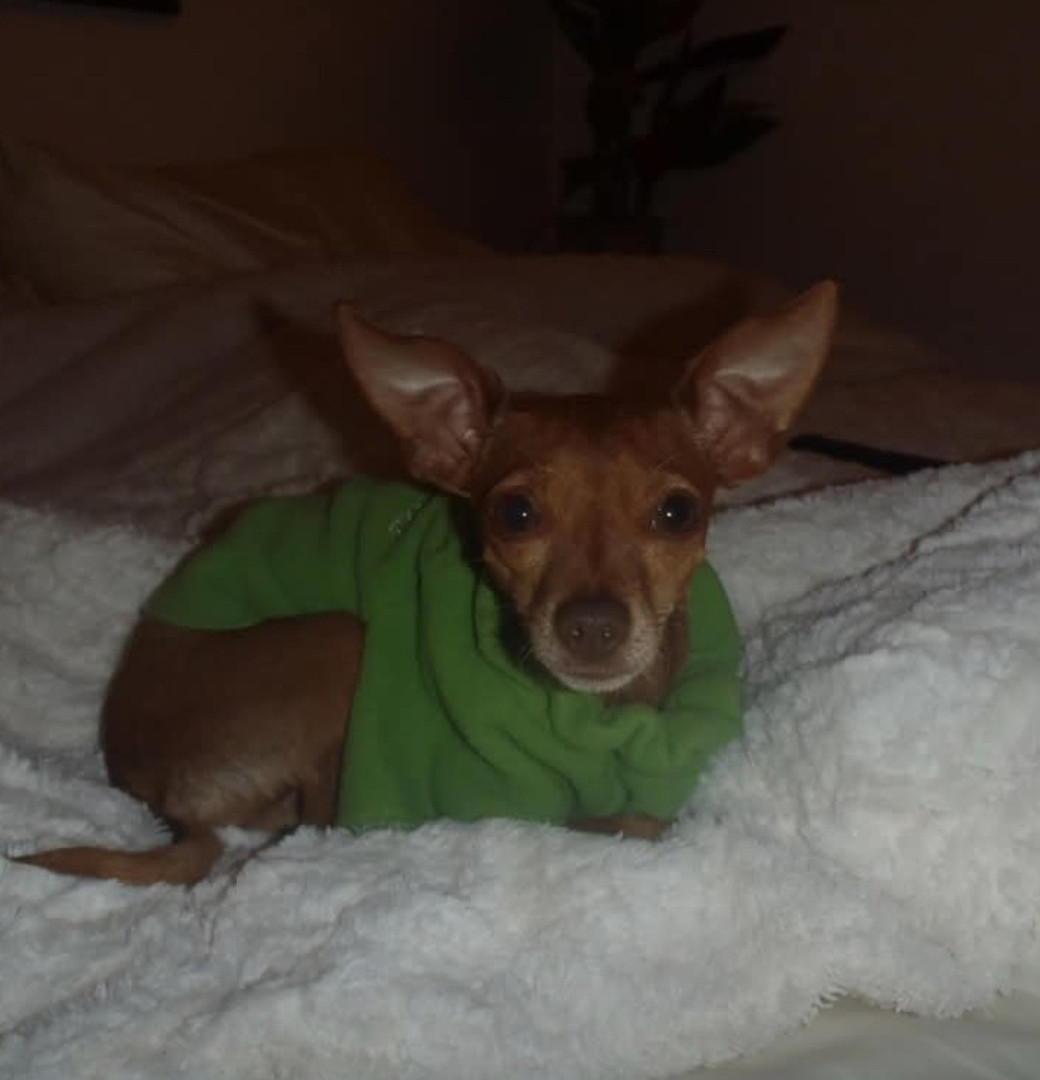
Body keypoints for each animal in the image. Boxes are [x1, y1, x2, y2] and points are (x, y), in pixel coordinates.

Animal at [14, 281, 838, 885]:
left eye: (677, 513)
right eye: (515, 512)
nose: (593, 626)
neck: (598, 715)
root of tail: (142, 778)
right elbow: (623, 824)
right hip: (336, 642)